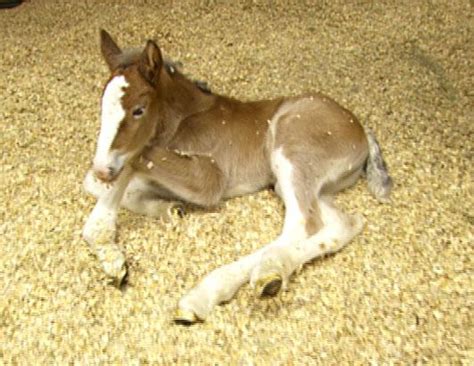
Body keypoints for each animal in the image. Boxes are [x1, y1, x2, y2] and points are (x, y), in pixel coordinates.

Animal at [82, 30, 392, 324]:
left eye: (139, 110)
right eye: (102, 107)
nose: (103, 168)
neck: (185, 119)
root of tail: (361, 128)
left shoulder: (209, 178)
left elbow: (137, 154)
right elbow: (99, 185)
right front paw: (163, 214)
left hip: (291, 149)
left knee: (301, 223)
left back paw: (229, 284)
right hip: (306, 183)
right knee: (343, 224)